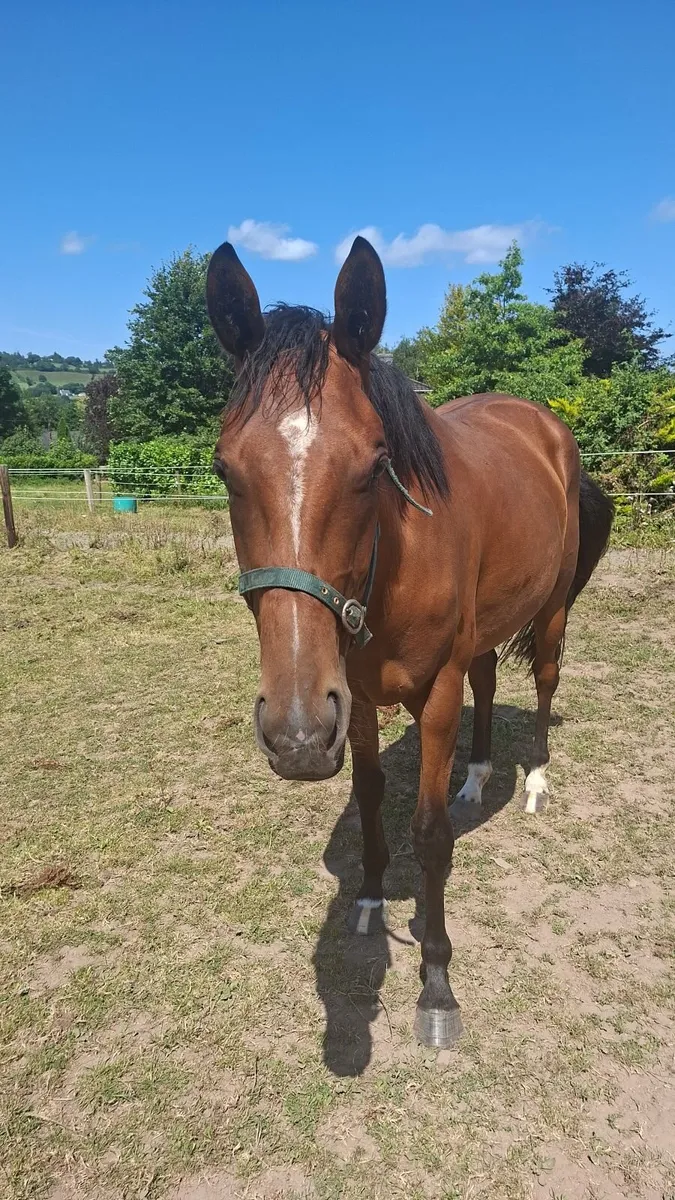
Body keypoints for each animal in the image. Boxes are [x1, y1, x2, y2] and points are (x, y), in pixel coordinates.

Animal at [206, 235, 614, 1049]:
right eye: (225, 468)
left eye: (374, 465)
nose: (295, 736)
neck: (389, 568)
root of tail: (543, 424)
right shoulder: (353, 696)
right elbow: (367, 796)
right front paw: (367, 899)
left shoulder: (434, 694)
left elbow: (429, 834)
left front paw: (436, 984)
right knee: (489, 682)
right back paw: (477, 775)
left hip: (552, 608)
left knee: (545, 679)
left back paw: (534, 781)